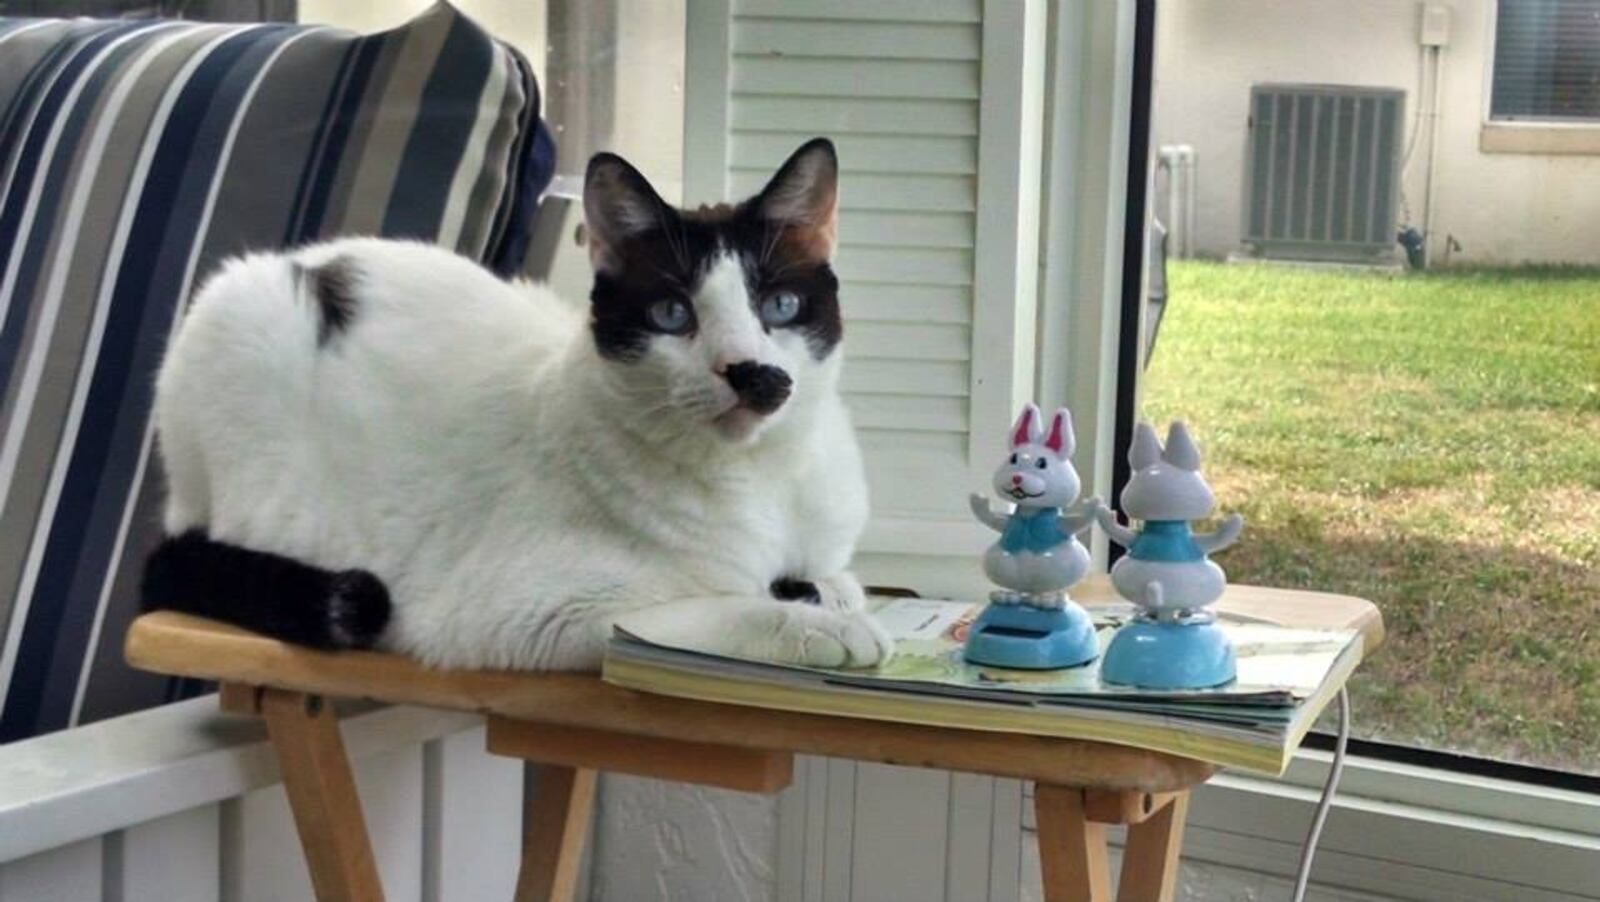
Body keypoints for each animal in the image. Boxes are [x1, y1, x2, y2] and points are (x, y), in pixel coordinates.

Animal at [142, 139, 896, 668]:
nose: (750, 373)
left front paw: (829, 595)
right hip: (236, 327)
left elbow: (830, 577)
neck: (766, 480)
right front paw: (825, 628)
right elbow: (704, 612)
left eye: (781, 306)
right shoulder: (543, 613)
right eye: (672, 314)